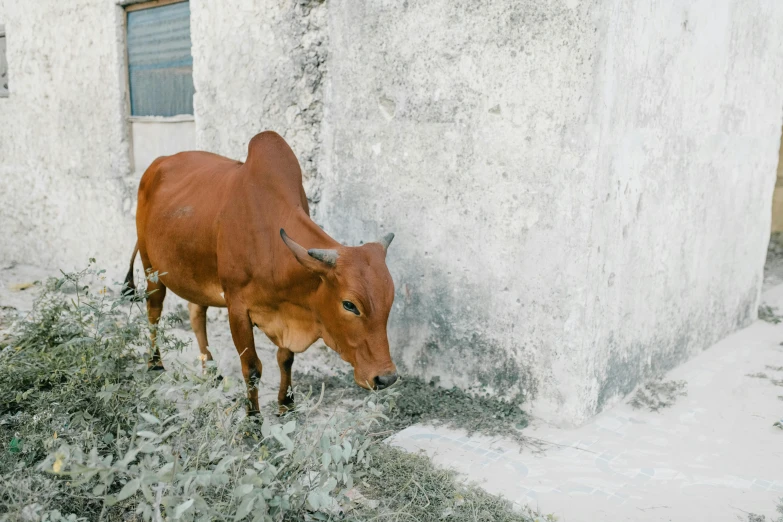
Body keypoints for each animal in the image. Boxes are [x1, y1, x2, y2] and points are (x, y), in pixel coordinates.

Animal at [126, 131, 402, 414]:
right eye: (349, 304)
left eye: (389, 299)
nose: (386, 378)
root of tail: (158, 162)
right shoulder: (237, 307)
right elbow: (252, 367)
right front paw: (254, 418)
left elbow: (286, 358)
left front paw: (286, 403)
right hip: (151, 268)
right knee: (154, 312)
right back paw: (154, 363)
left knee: (196, 314)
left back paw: (210, 369)